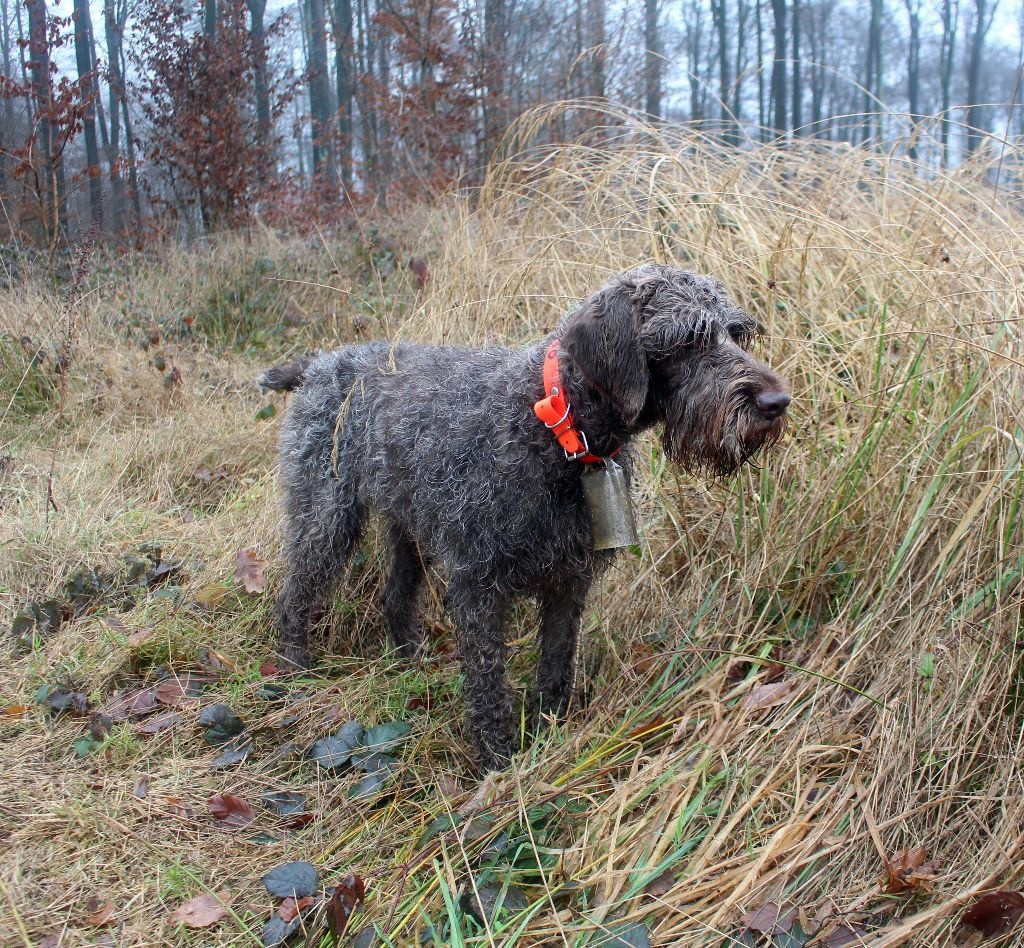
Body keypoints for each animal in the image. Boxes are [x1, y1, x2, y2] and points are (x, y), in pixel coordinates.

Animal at [260, 266, 786, 769]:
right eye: (688, 339)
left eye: (737, 334)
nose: (776, 403)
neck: (557, 424)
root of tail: (320, 364)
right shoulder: (478, 587)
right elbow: (488, 682)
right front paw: (498, 760)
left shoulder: (569, 582)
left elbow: (555, 665)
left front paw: (548, 731)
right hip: (327, 516)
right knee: (294, 597)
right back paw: (296, 673)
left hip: (408, 525)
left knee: (395, 597)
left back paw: (409, 660)